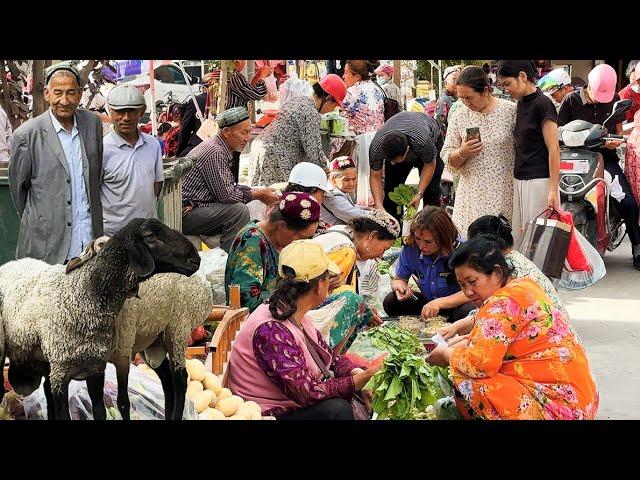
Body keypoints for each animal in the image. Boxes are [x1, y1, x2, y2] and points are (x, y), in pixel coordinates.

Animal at [0, 218, 200, 420]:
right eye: (150, 236)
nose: (196, 260)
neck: (83, 292)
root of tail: (11, 263)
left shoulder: (96, 366)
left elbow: (101, 410)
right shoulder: (61, 372)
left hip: (171, 333)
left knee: (177, 378)